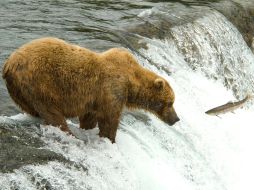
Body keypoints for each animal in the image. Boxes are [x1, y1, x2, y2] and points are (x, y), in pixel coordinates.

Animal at [2, 37, 181, 142]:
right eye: (170, 102)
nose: (176, 119)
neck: (131, 82)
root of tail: (9, 63)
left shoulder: (94, 99)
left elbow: (89, 117)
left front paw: (88, 128)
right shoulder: (111, 89)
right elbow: (109, 119)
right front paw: (109, 139)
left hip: (19, 90)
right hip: (40, 82)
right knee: (51, 110)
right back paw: (69, 134)